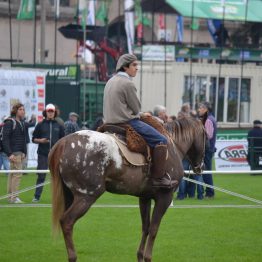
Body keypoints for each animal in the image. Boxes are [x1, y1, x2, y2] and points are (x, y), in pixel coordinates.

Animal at [48, 117, 205, 262]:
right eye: (204, 135)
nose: (200, 167)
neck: (173, 147)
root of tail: (63, 142)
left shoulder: (145, 198)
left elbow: (146, 227)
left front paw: (140, 256)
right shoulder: (164, 198)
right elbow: (154, 229)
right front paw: (148, 257)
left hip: (70, 196)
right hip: (86, 197)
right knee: (67, 222)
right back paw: (73, 256)